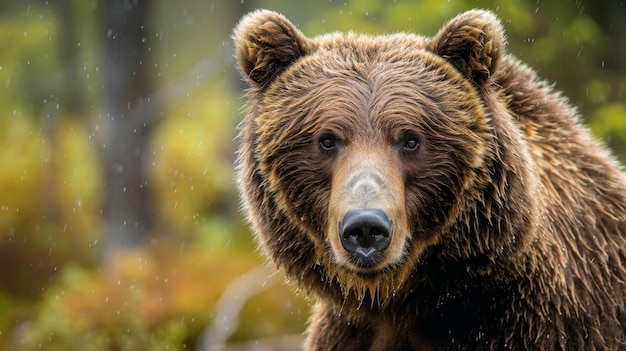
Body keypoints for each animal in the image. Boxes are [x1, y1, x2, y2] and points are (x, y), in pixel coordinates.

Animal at [230, 8, 624, 351]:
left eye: (410, 140)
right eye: (327, 140)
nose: (366, 228)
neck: (409, 303)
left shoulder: (542, 321)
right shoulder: (353, 332)